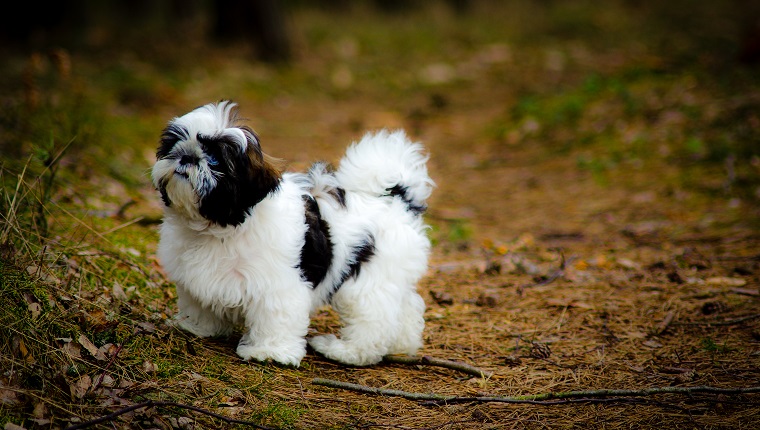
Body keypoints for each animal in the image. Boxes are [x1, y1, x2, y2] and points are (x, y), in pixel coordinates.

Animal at [151, 101, 434, 366]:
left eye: (215, 159)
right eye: (173, 145)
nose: (186, 156)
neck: (220, 227)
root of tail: (397, 202)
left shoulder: (277, 284)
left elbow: (276, 316)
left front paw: (269, 352)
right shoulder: (197, 277)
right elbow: (198, 302)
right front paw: (197, 326)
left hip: (368, 280)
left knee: (374, 322)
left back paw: (344, 351)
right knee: (407, 308)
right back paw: (402, 345)